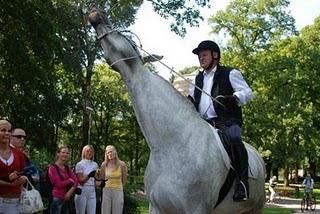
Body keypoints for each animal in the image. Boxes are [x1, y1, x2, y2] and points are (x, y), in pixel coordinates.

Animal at [87, 7, 264, 214]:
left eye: (128, 39)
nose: (97, 14)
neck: (170, 147)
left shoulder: (197, 209)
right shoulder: (157, 207)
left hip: (255, 208)